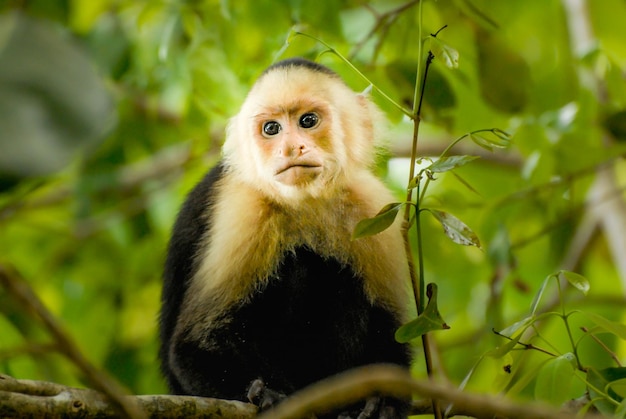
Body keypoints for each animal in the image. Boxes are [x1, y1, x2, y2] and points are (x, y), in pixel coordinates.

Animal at [158, 56, 412, 419]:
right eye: (272, 129)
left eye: (308, 121)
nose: (291, 147)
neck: (306, 202)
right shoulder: (244, 208)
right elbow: (193, 345)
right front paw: (265, 393)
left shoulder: (372, 206)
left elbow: (390, 330)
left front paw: (382, 401)